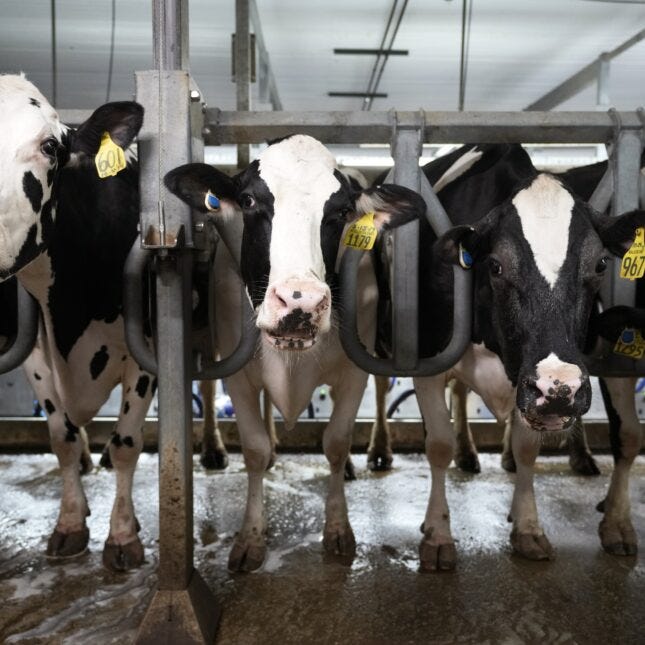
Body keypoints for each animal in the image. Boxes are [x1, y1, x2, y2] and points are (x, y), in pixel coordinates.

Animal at [0, 74, 150, 571]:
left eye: (50, 146)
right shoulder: (36, 350)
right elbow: (61, 437)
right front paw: (69, 524)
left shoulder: (145, 353)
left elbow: (126, 443)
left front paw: (122, 535)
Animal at [164, 134, 425, 571]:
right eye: (249, 200)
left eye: (341, 211)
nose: (300, 301)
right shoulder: (239, 375)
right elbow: (253, 449)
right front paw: (251, 538)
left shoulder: (354, 373)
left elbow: (336, 441)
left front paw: (338, 530)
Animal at [405, 143, 644, 570]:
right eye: (496, 265)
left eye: (600, 264)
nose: (559, 388)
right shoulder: (428, 358)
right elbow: (438, 445)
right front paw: (437, 535)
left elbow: (531, 448)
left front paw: (530, 527)